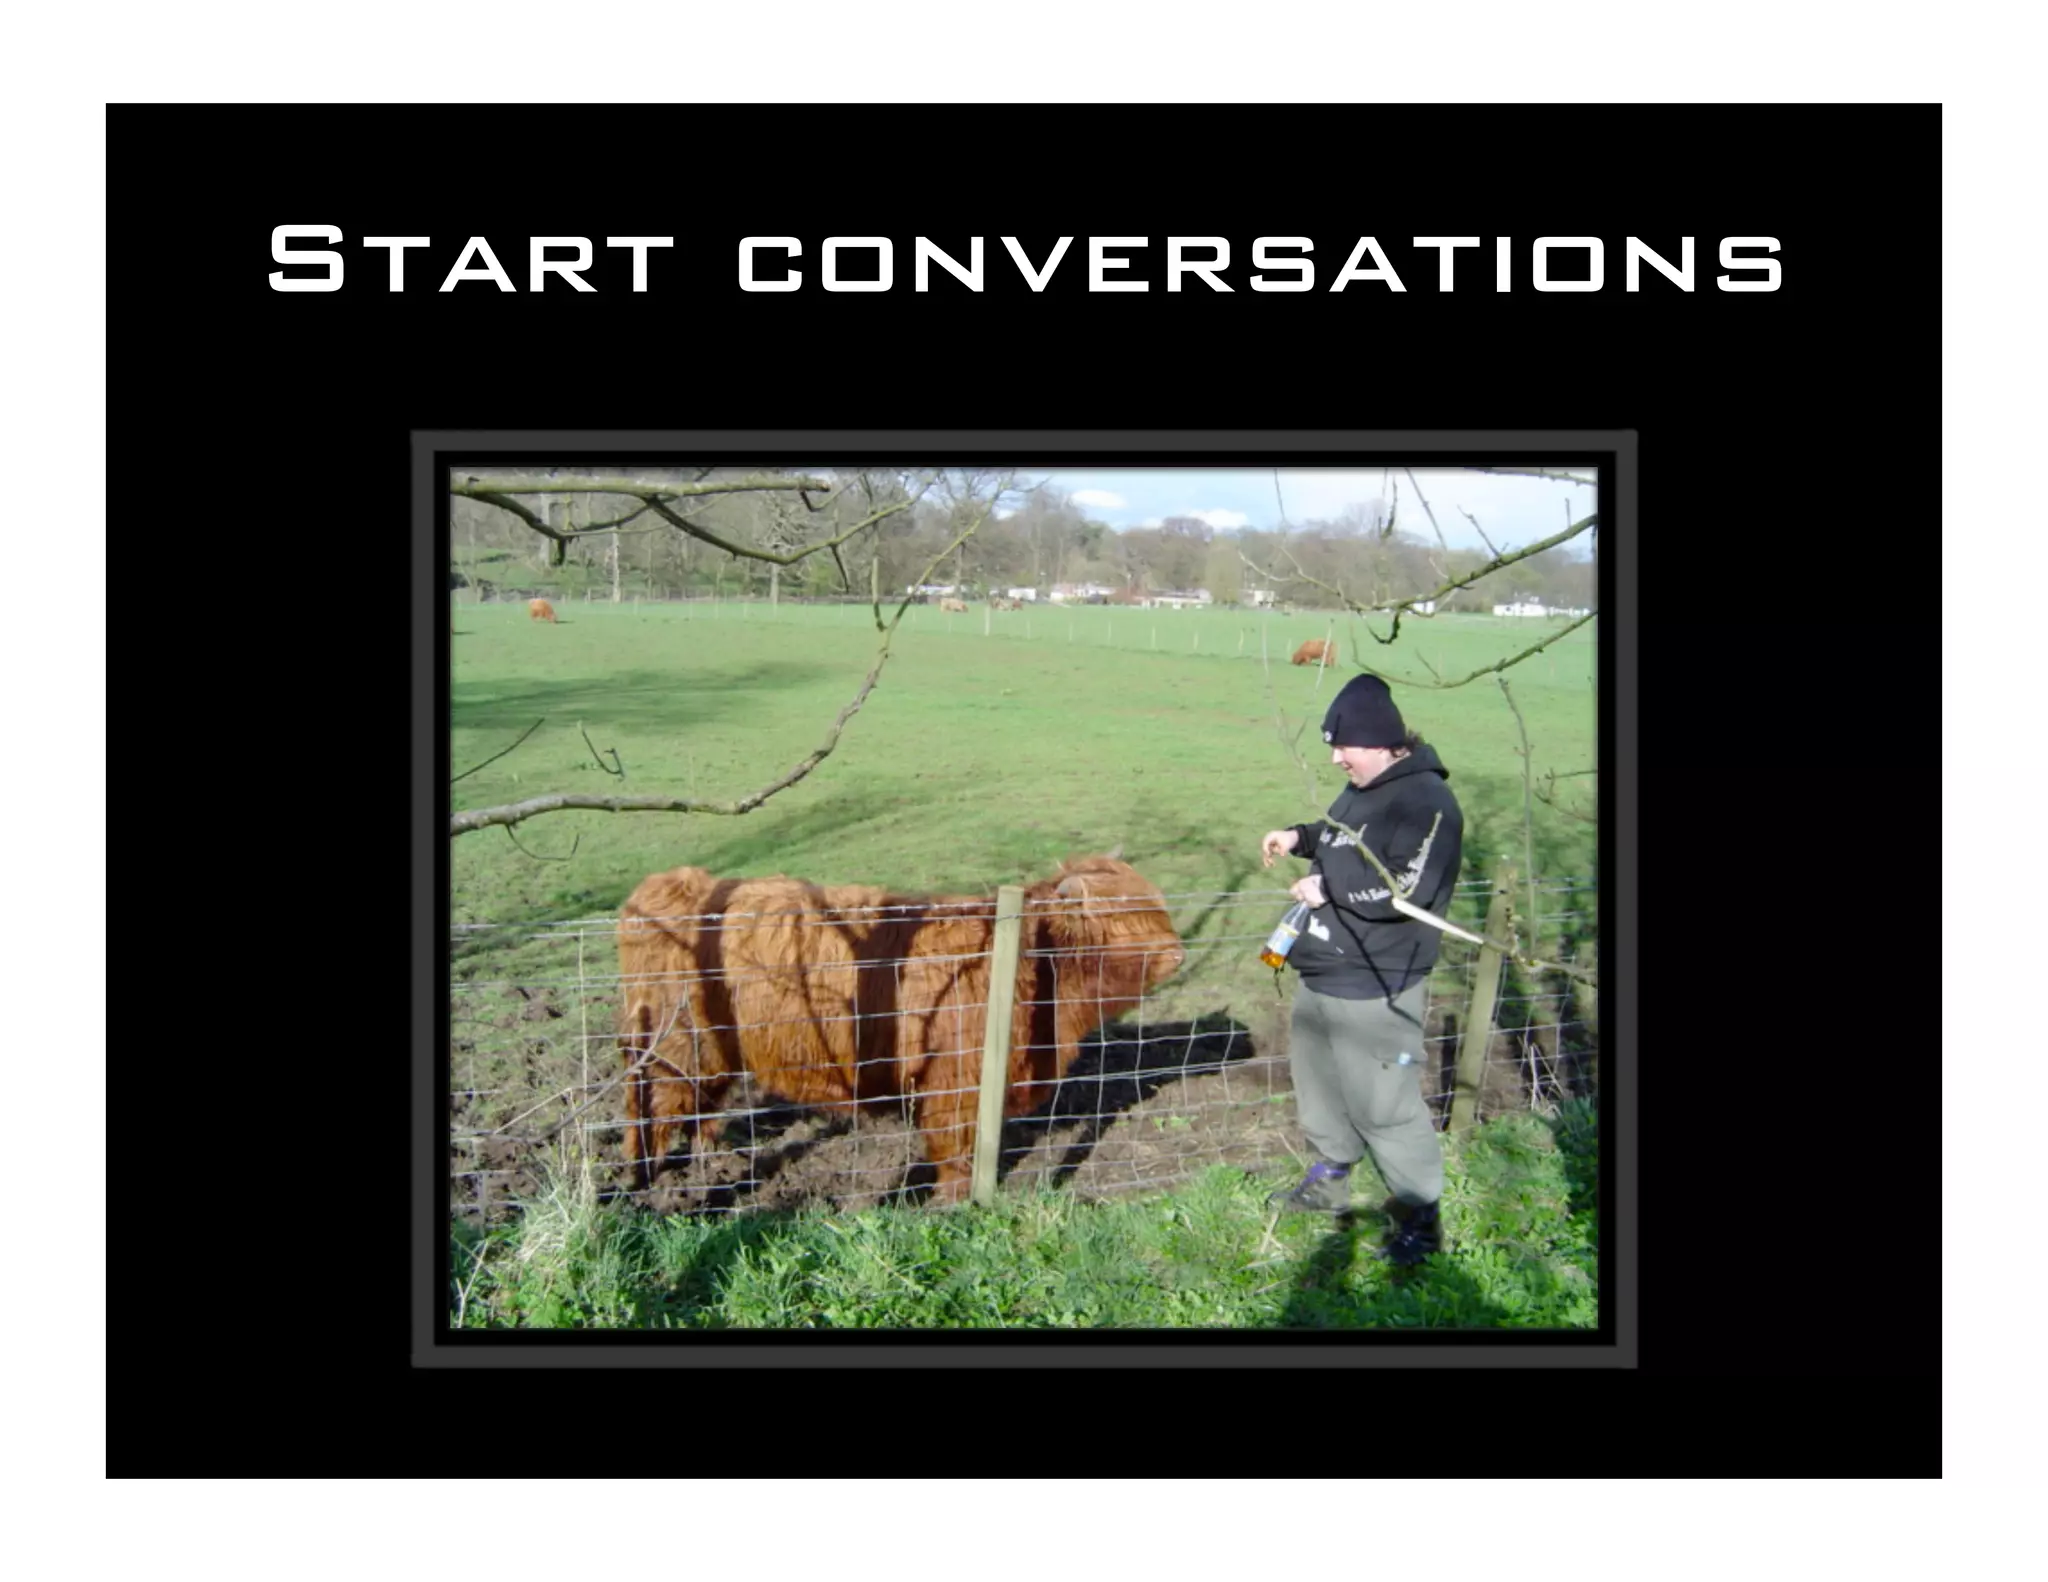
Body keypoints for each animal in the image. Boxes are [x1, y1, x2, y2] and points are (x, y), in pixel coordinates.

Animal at [615, 853, 1185, 1204]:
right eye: (1125, 918)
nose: (1179, 954)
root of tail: (674, 883)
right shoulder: (954, 1084)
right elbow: (955, 1147)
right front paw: (954, 1201)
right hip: (674, 1046)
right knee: (652, 1107)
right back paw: (642, 1179)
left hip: (711, 1052)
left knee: (701, 1102)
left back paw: (711, 1156)